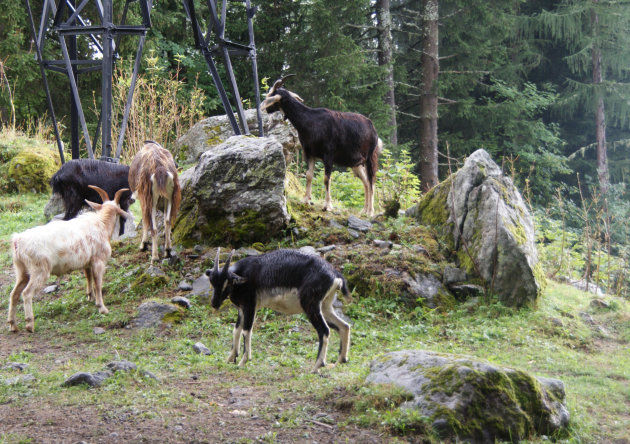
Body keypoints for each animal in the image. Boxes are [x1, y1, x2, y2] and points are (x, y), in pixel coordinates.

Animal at [7, 185, 130, 332]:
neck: (102, 224)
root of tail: (17, 241)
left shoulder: (87, 263)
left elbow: (89, 278)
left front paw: (90, 297)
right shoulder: (98, 261)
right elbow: (98, 284)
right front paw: (102, 308)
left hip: (21, 270)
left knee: (14, 294)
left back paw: (13, 324)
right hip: (39, 269)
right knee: (26, 293)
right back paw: (30, 324)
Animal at [209, 250, 354, 372]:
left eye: (227, 283)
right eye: (212, 281)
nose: (214, 303)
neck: (243, 275)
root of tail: (335, 274)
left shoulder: (250, 306)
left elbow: (246, 331)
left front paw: (243, 361)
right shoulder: (241, 309)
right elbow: (236, 330)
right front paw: (230, 358)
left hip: (311, 305)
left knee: (324, 330)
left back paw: (316, 367)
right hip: (325, 306)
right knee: (344, 326)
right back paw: (339, 361)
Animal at [262, 76, 386, 217]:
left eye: (272, 95)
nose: (266, 109)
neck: (309, 121)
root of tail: (372, 128)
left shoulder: (328, 155)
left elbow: (327, 179)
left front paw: (327, 205)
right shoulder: (309, 153)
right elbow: (309, 175)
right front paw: (305, 199)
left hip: (370, 157)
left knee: (371, 181)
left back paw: (370, 211)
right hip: (356, 163)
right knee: (365, 181)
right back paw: (364, 210)